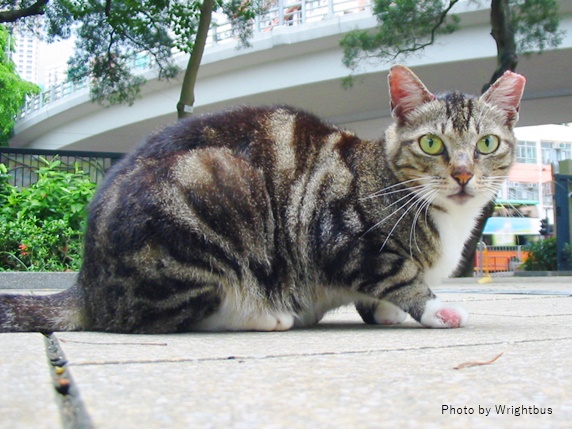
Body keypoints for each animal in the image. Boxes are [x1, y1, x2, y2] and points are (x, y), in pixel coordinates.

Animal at [0, 67, 524, 332]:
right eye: (432, 144)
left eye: (487, 144)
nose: (463, 174)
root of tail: (87, 282)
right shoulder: (340, 233)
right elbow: (397, 276)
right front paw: (435, 309)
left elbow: (380, 297)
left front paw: (388, 313)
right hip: (211, 192)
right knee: (160, 317)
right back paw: (262, 314)